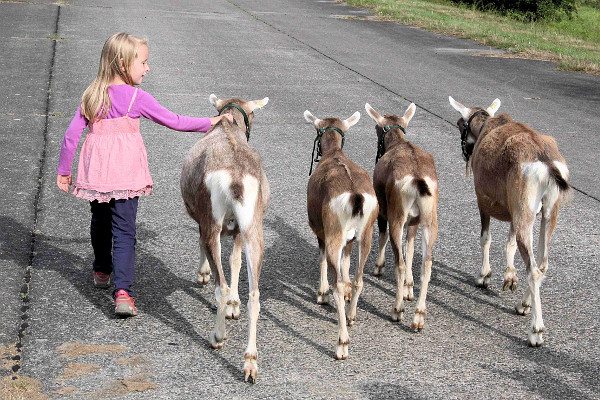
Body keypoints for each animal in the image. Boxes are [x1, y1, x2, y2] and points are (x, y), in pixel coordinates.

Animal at [180, 93, 270, 382]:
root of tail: (236, 179)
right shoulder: (239, 230)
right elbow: (235, 261)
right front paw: (234, 307)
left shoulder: (204, 221)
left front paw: (202, 275)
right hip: (253, 228)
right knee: (255, 295)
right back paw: (250, 363)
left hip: (214, 222)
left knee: (220, 286)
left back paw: (217, 337)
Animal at [308, 108, 378, 360]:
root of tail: (355, 196)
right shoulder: (350, 241)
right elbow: (347, 265)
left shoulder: (320, 231)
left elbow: (321, 260)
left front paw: (321, 295)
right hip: (366, 235)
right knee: (359, 279)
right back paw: (351, 316)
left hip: (334, 235)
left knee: (337, 282)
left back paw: (342, 344)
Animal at [364, 103, 438, 332]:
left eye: (377, 128)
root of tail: (417, 180)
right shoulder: (413, 222)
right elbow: (410, 248)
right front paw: (408, 289)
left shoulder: (382, 210)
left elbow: (382, 237)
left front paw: (378, 268)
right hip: (430, 220)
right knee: (426, 264)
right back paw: (419, 316)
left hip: (397, 217)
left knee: (400, 262)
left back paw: (397, 311)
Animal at [450, 97, 572, 346]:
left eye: (460, 124)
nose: (465, 153)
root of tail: (546, 162)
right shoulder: (514, 212)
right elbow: (510, 243)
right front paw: (509, 277)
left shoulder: (482, 199)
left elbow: (486, 238)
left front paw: (484, 277)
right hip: (547, 212)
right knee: (542, 263)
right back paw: (523, 305)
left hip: (526, 211)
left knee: (533, 269)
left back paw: (536, 331)